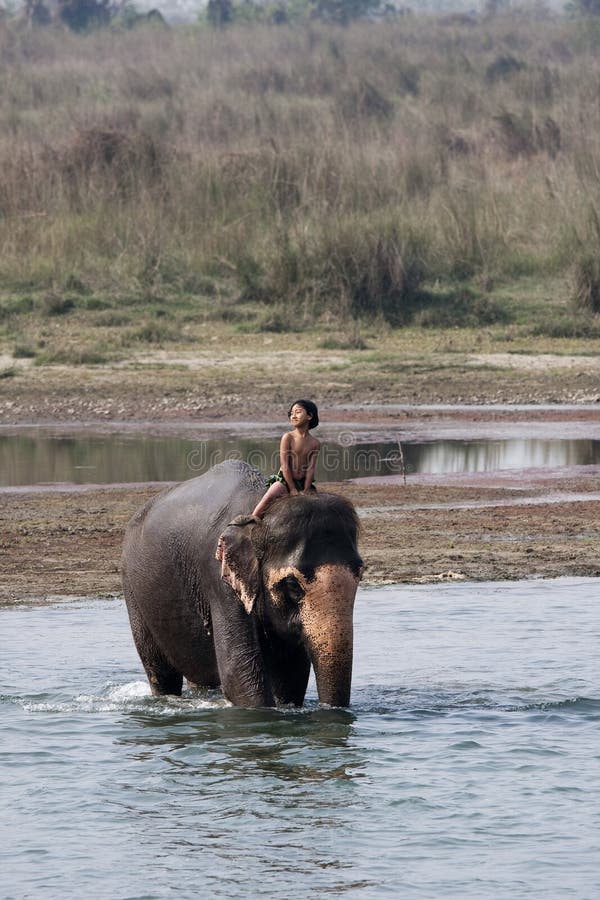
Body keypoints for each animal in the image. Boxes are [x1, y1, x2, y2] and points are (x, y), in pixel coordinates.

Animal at [122, 460, 363, 708]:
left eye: (359, 575)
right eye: (293, 585)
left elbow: (291, 675)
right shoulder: (219, 578)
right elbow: (239, 674)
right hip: (132, 589)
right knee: (160, 673)